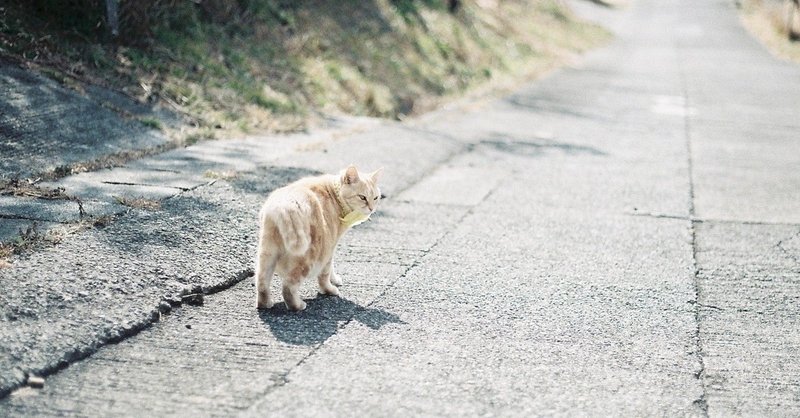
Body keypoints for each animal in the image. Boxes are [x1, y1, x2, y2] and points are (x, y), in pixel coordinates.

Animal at [255, 165, 382, 308]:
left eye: (376, 198)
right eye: (362, 197)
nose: (371, 208)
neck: (335, 195)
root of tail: (284, 205)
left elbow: (331, 268)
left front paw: (334, 279)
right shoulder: (330, 245)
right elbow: (325, 272)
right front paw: (329, 289)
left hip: (267, 254)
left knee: (261, 282)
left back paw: (265, 304)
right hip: (309, 256)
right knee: (288, 286)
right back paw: (298, 306)